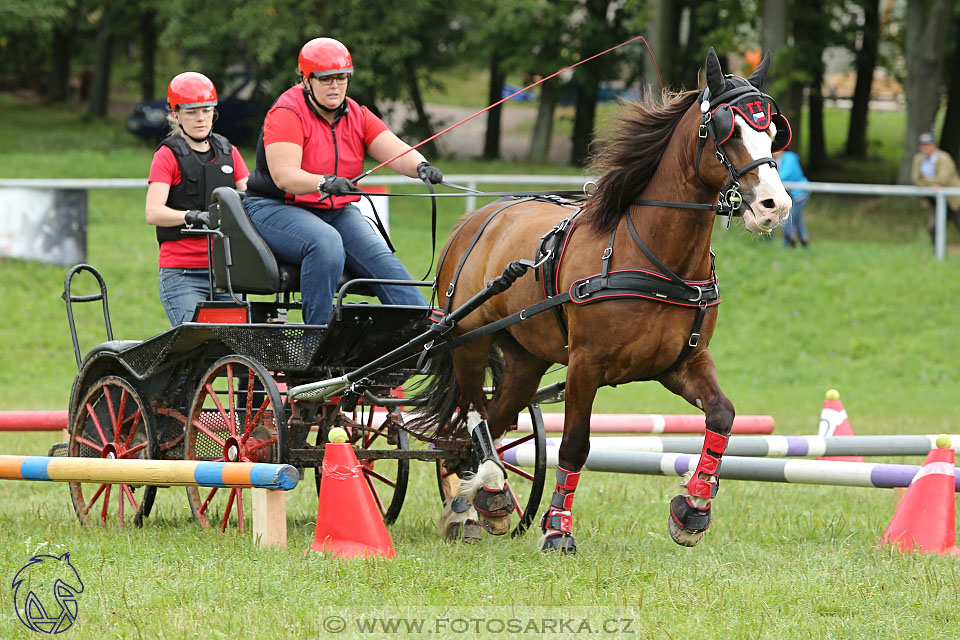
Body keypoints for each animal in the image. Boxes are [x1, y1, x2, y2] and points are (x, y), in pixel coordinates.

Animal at [412, 50, 796, 552]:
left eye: (773, 132)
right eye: (724, 131)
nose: (775, 205)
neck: (653, 256)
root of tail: (476, 219)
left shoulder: (681, 363)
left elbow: (723, 415)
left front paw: (693, 506)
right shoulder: (586, 365)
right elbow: (576, 444)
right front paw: (558, 529)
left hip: (525, 360)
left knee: (488, 426)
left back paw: (477, 501)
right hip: (467, 340)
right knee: (473, 414)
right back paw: (482, 495)